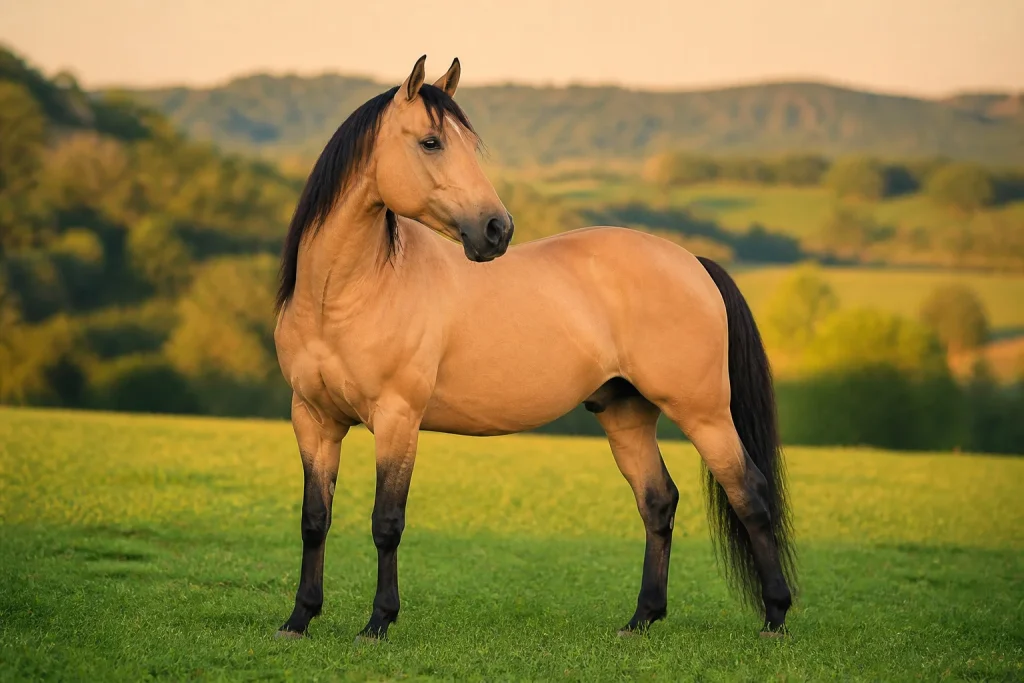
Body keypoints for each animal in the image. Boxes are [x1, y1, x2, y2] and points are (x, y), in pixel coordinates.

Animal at [272, 55, 796, 643]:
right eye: (431, 142)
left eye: (468, 144)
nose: (496, 230)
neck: (345, 295)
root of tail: (693, 262)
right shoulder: (313, 419)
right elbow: (314, 520)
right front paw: (299, 618)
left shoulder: (397, 419)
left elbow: (387, 522)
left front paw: (378, 622)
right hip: (626, 414)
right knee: (658, 502)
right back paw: (642, 618)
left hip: (704, 413)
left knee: (749, 494)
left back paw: (775, 616)